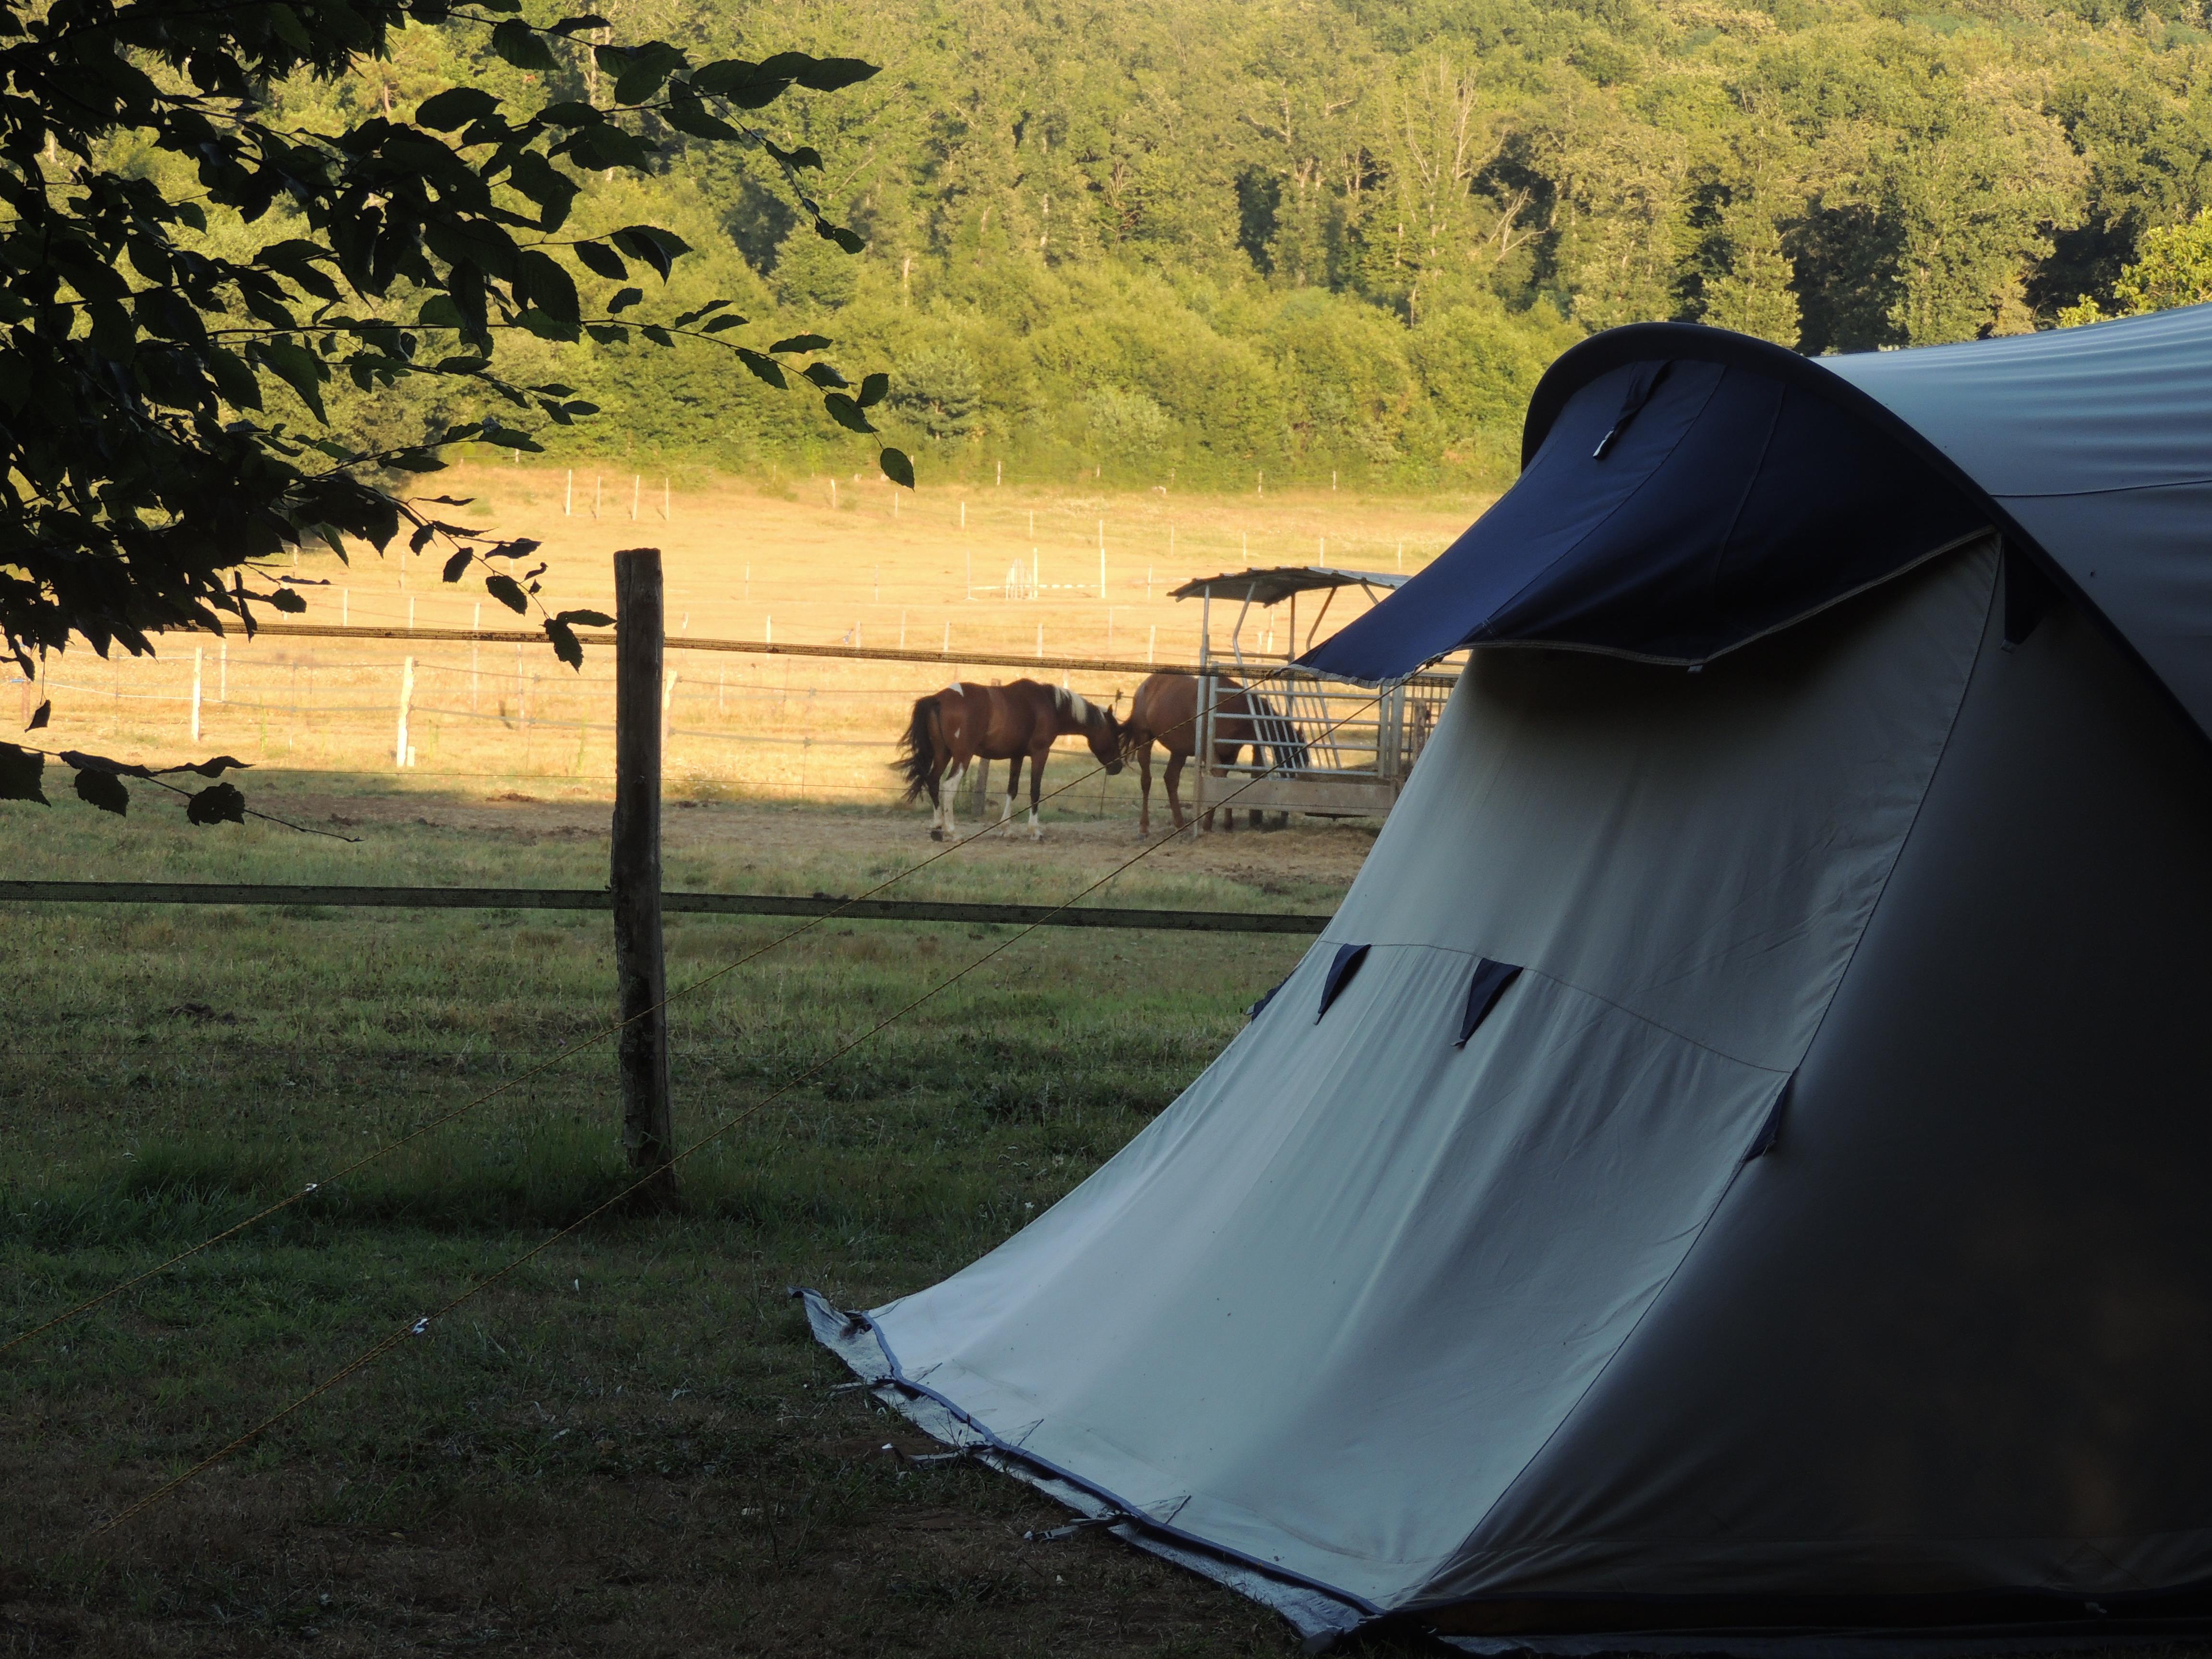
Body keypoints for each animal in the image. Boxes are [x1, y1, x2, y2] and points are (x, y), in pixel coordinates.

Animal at [893, 677, 1123, 836]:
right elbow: (1035, 790)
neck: (1047, 704)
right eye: (1115, 734)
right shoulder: (1040, 753)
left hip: (943, 753)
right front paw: (1035, 830)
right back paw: (952, 831)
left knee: (932, 781)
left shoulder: (1017, 756)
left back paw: (937, 827)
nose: (1118, 767)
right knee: (949, 786)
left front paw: (1006, 828)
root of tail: (939, 698)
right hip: (962, 756)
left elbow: (1012, 790)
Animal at [1123, 672, 1292, 836]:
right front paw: (1216, 824)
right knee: (1146, 780)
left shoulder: (1230, 755)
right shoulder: (1208, 752)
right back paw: (1144, 828)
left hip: (1179, 751)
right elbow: (1220, 780)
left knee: (1171, 779)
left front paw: (1218, 824)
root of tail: (1144, 686)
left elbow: (1223, 782)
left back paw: (1180, 824)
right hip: (1145, 739)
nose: (1284, 816)